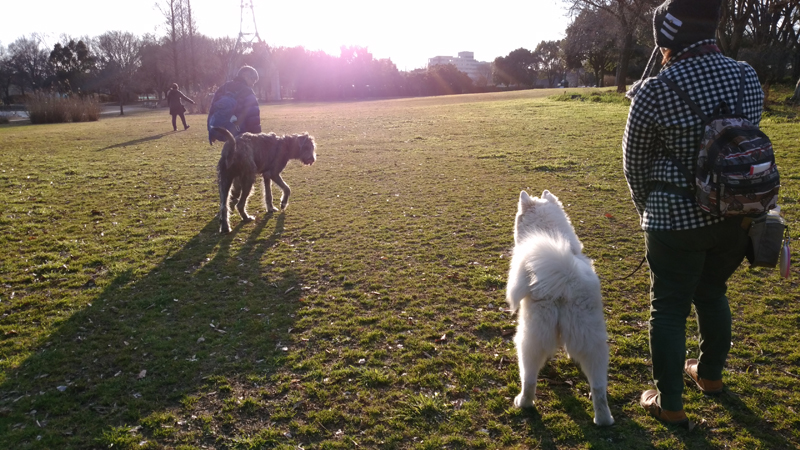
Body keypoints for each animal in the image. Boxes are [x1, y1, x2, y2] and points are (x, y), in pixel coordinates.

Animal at [506, 190, 612, 426]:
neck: (548, 231)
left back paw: (523, 402)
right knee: (599, 386)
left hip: (530, 337)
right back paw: (603, 419)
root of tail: (566, 277)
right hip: (592, 340)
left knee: (529, 378)